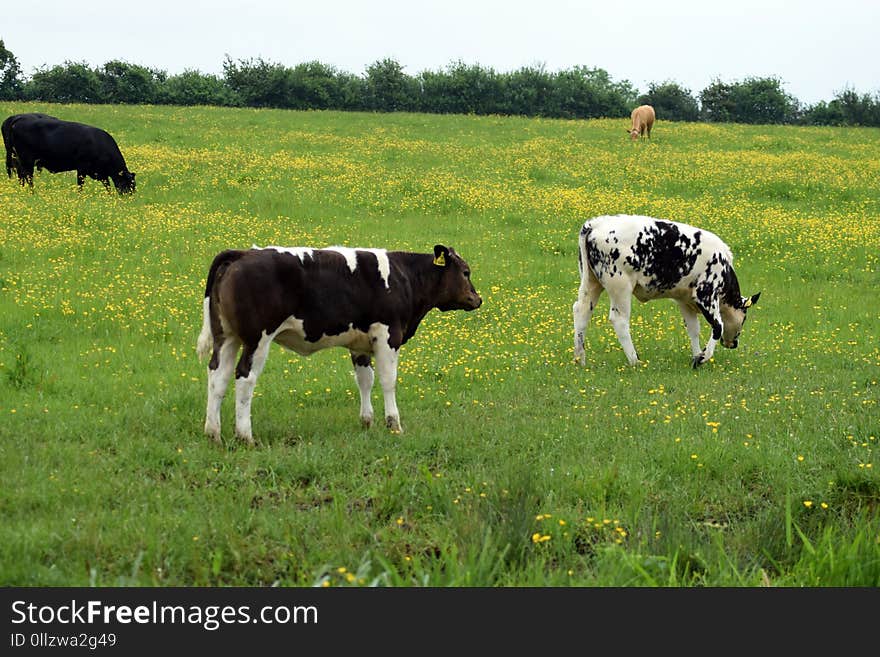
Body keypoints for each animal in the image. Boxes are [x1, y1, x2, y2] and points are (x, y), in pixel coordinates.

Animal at [4, 113, 135, 192]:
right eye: (129, 184)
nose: (129, 198)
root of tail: (18, 120)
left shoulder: (100, 173)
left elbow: (107, 185)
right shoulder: (82, 168)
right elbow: (80, 185)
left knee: (22, 176)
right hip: (27, 160)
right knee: (28, 177)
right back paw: (32, 192)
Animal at [195, 243, 482, 444]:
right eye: (466, 272)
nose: (477, 299)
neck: (404, 277)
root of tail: (242, 253)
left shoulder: (360, 344)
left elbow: (365, 380)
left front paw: (367, 421)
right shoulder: (388, 335)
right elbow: (388, 380)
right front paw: (394, 424)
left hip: (226, 337)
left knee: (218, 376)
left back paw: (213, 433)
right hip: (257, 339)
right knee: (245, 378)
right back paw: (246, 436)